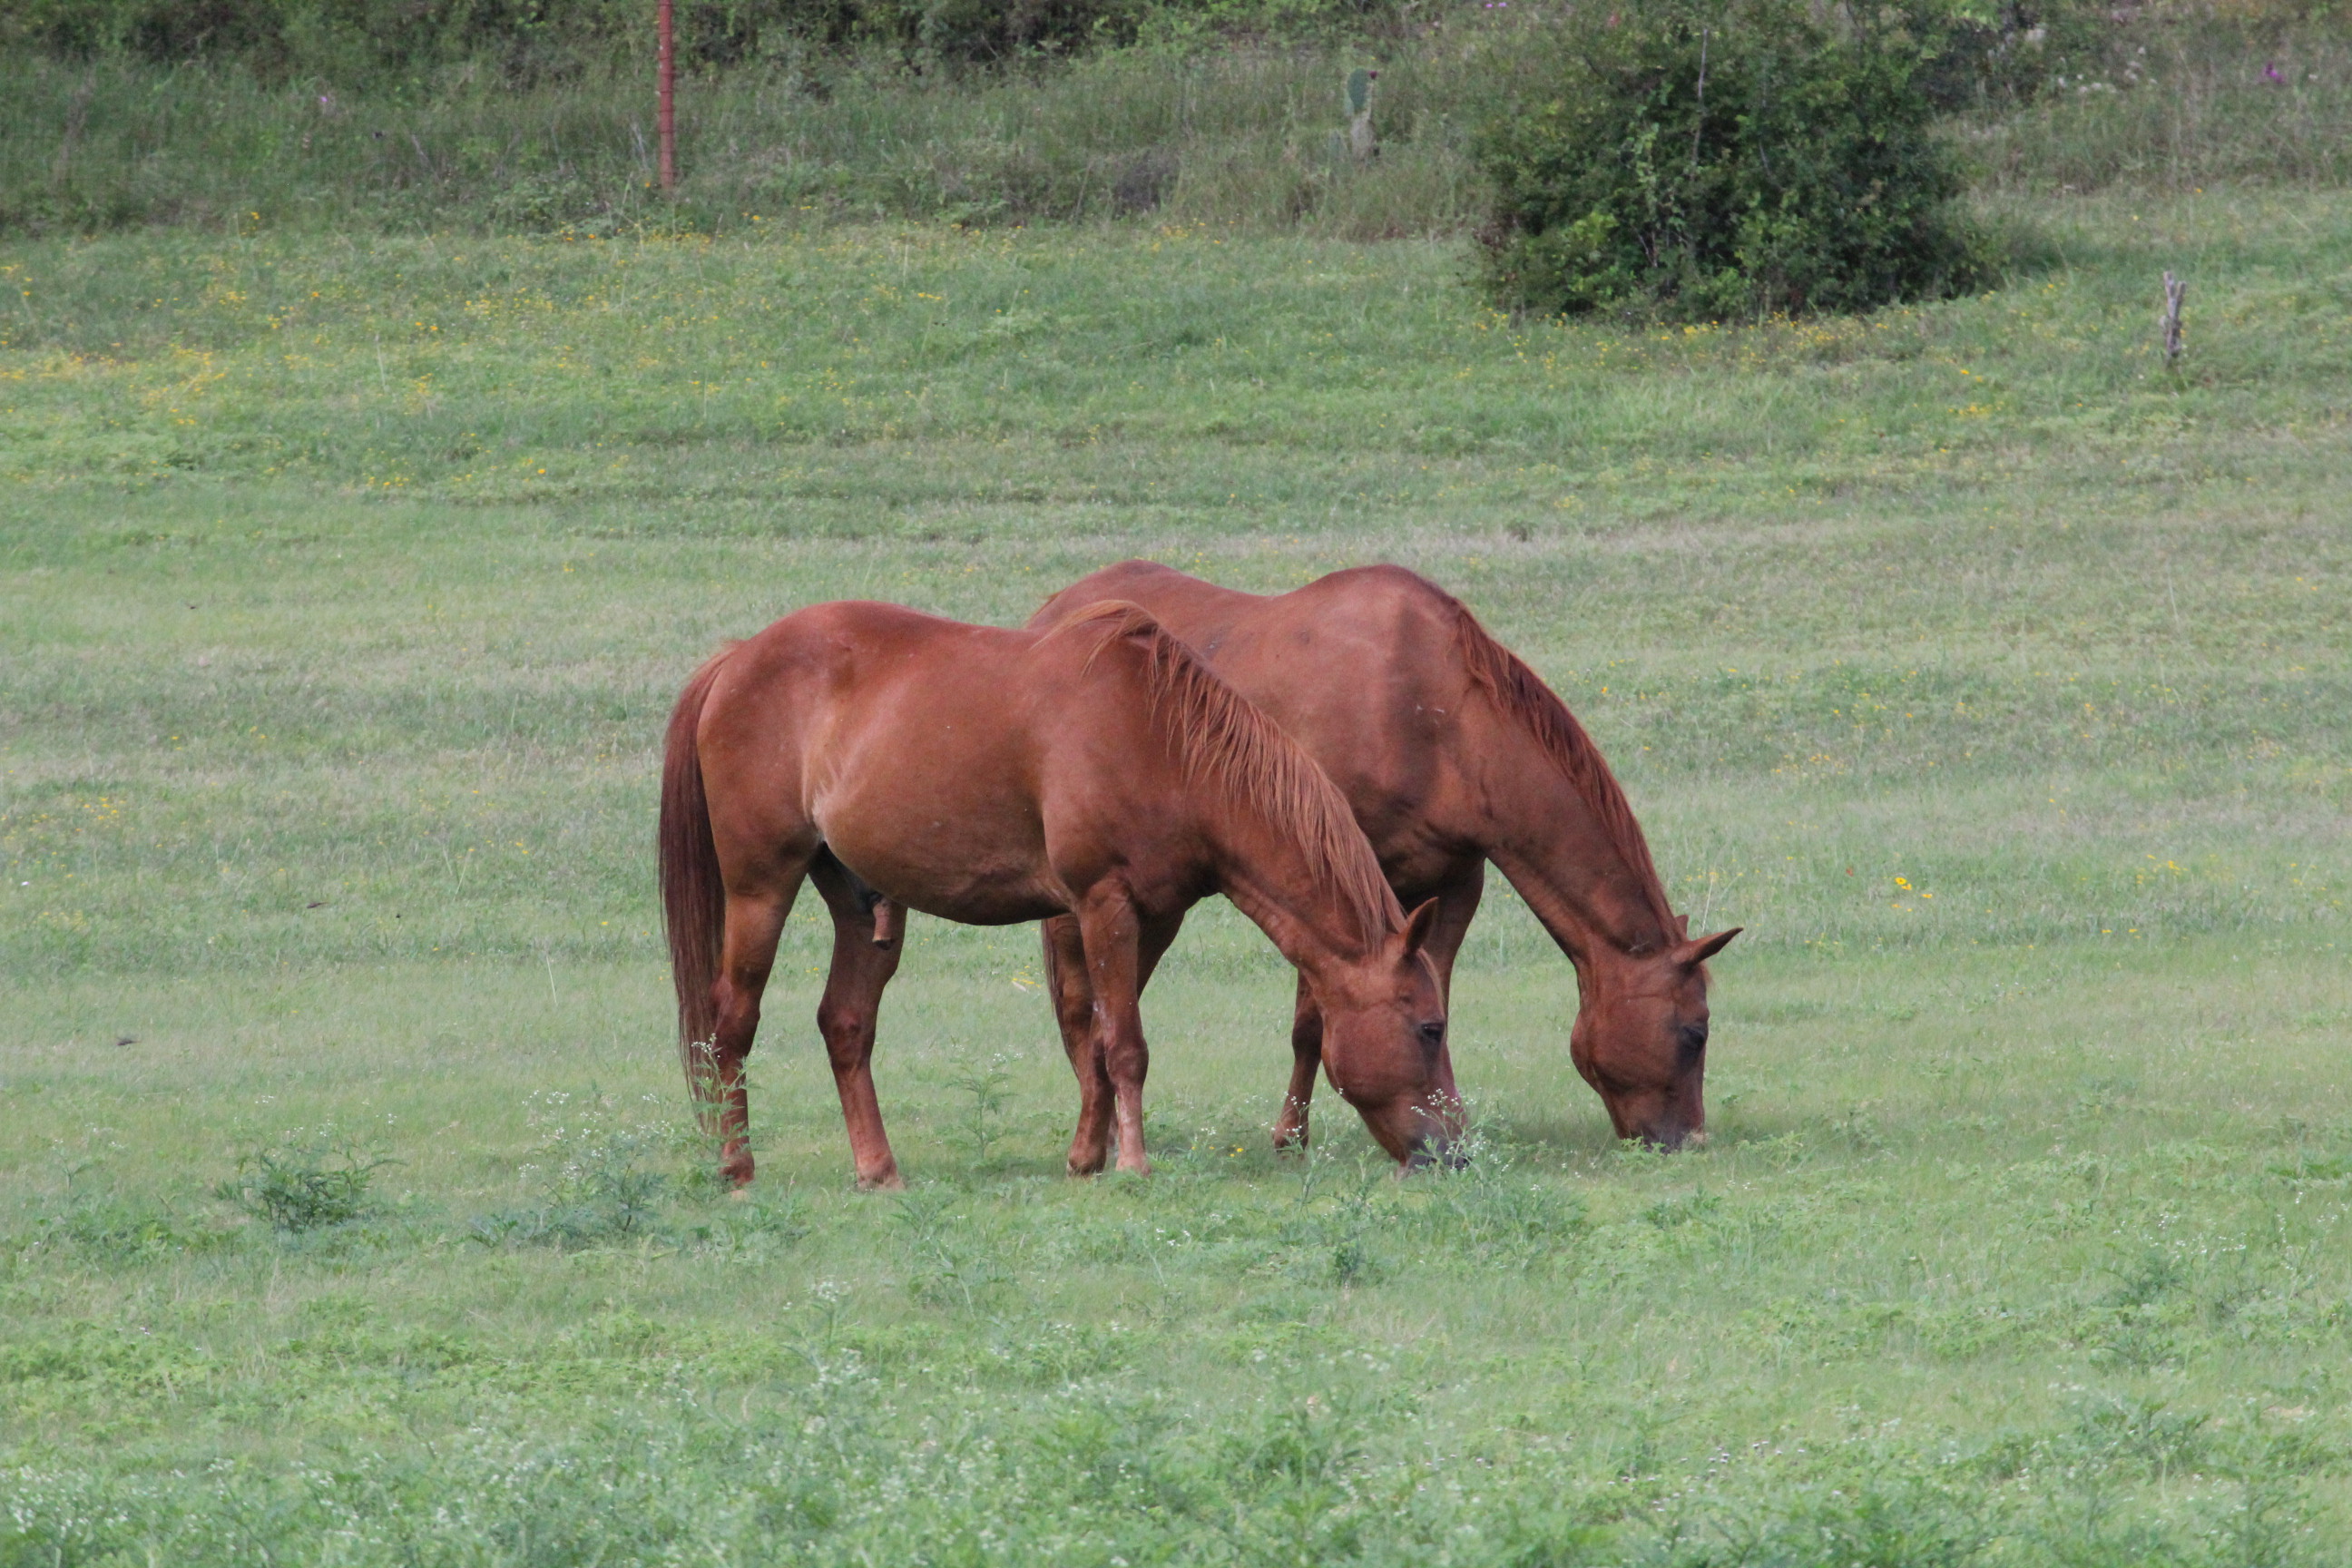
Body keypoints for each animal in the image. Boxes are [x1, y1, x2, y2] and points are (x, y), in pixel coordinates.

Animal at [658, 597, 1459, 1188]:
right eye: (1430, 1027)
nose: (1456, 1148)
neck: (1164, 741)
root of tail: (737, 659)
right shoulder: (1104, 902)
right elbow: (1125, 1044)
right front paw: (1131, 1164)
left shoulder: (1153, 915)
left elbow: (1100, 1036)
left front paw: (1087, 1157)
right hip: (761, 884)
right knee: (732, 1021)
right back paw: (736, 1166)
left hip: (860, 901)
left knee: (846, 1025)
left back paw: (878, 1170)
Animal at [1028, 564, 1737, 1150]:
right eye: (1695, 1032)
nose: (1690, 1140)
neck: (1437, 715)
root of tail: (1051, 613)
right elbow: (1311, 1024)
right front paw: (1292, 1136)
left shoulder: (1453, 884)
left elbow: (1430, 998)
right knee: (1083, 1010)